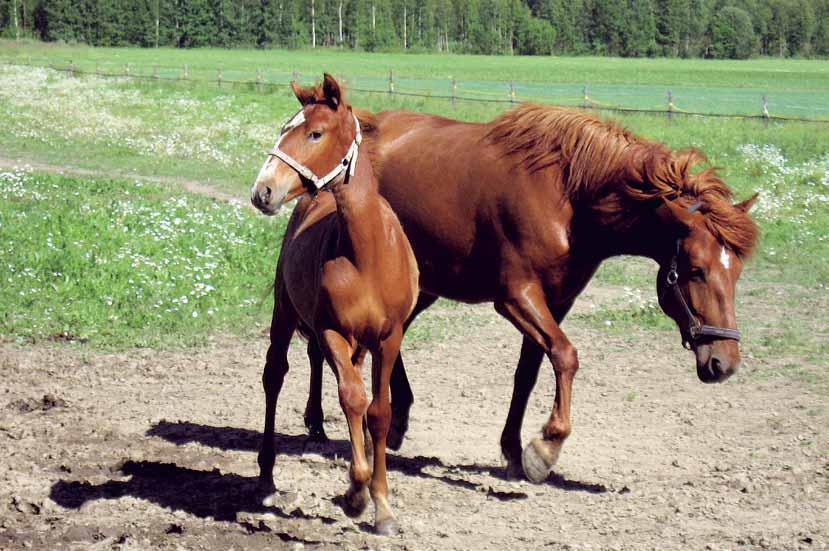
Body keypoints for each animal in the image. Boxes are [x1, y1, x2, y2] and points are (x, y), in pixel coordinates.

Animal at [251, 74, 420, 536]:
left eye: (315, 133)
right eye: (283, 129)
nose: (263, 191)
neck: (368, 254)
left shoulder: (388, 338)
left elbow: (379, 412)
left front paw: (382, 506)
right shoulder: (332, 331)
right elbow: (352, 399)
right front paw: (356, 493)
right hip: (284, 312)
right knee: (274, 376)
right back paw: (267, 478)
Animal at [251, 102, 756, 484]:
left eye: (735, 274)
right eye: (695, 270)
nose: (724, 362)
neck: (568, 196)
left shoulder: (556, 302)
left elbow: (529, 372)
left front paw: (514, 450)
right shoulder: (516, 298)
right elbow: (566, 356)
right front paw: (544, 448)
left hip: (422, 285)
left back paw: (385, 421)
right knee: (322, 346)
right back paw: (322, 419)